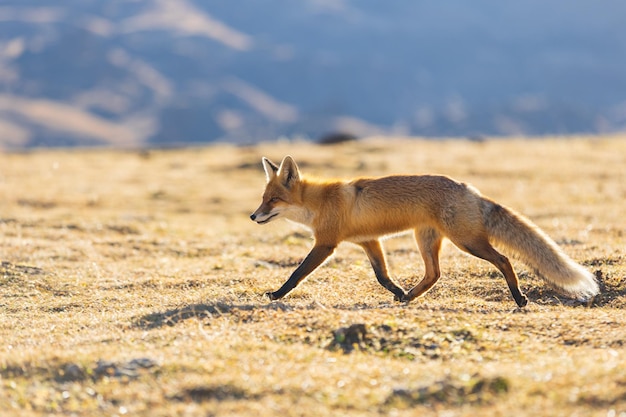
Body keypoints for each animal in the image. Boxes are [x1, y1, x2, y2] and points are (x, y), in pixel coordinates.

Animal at [249, 156, 596, 306]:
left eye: (272, 200)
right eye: (263, 198)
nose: (253, 216)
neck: (319, 203)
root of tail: (470, 190)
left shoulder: (326, 244)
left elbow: (297, 274)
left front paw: (276, 294)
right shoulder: (369, 241)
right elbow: (382, 276)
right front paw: (397, 291)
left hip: (467, 241)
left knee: (504, 260)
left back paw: (519, 298)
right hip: (426, 240)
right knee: (434, 274)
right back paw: (410, 296)